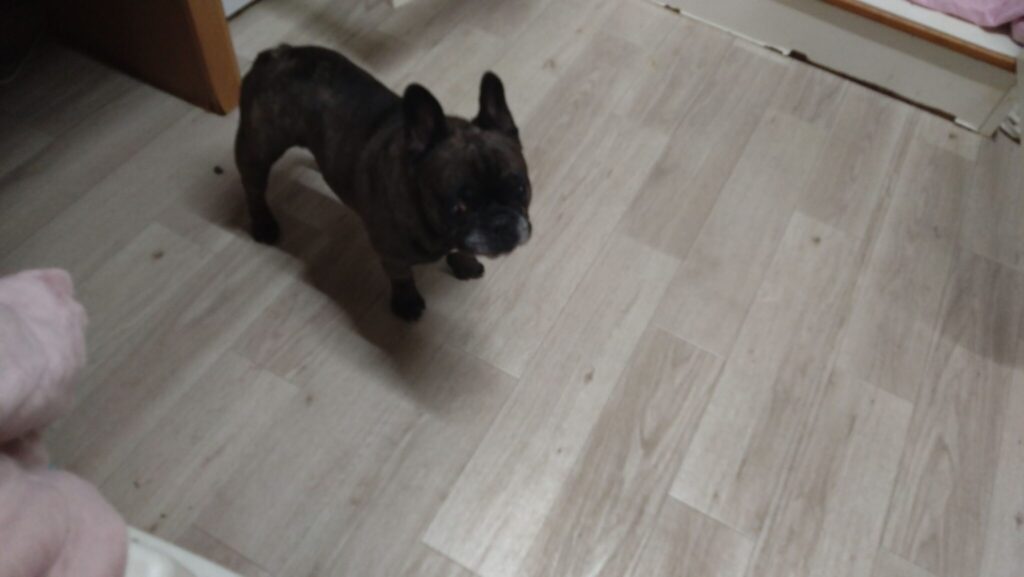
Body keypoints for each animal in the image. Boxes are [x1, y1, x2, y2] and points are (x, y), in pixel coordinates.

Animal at [235, 45, 532, 321]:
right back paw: (263, 224)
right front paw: (407, 303)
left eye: (521, 189)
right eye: (458, 207)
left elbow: (461, 248)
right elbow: (401, 276)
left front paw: (465, 264)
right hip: (259, 147)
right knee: (253, 186)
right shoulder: (391, 252)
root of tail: (277, 54)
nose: (501, 223)